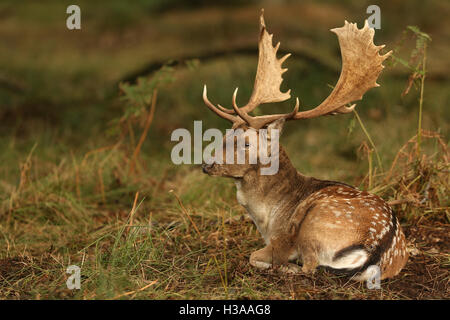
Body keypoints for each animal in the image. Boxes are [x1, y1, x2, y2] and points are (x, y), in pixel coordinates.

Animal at [200, 10, 408, 280]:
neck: (267, 220)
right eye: (225, 135)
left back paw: (286, 267)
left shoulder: (280, 239)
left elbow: (254, 255)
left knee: (309, 267)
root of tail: (379, 246)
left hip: (313, 223)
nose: (206, 165)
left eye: (245, 144)